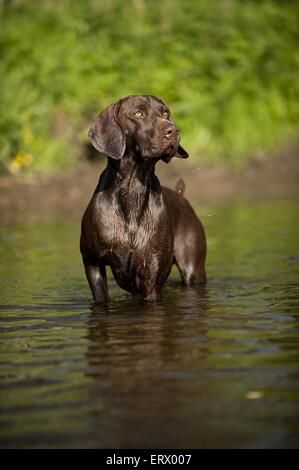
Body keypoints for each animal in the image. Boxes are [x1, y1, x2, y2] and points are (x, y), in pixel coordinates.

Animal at [80, 95, 206, 302]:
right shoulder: (92, 261)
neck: (133, 189)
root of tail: (181, 196)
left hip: (193, 269)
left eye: (165, 112)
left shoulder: (151, 275)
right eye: (138, 113)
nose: (173, 131)